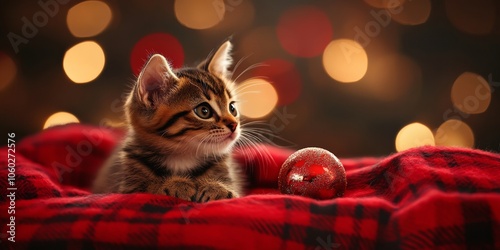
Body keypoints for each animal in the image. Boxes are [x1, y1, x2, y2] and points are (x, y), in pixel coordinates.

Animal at [94, 40, 244, 201]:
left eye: (232, 108)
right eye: (204, 111)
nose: (234, 125)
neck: (182, 158)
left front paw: (217, 188)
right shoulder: (126, 188)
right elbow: (148, 187)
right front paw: (175, 184)